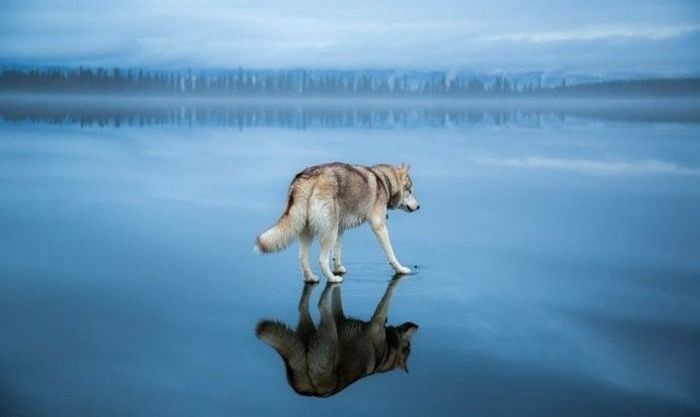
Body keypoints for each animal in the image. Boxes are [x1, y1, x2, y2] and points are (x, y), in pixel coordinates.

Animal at [256, 278, 416, 394]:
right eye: (408, 347)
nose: (415, 326)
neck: (388, 350)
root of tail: (308, 389)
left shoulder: (339, 317)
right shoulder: (377, 321)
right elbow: (385, 304)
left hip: (310, 328)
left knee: (302, 306)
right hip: (330, 333)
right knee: (321, 303)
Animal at [258, 161, 422, 282]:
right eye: (410, 191)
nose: (419, 207)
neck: (384, 181)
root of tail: (307, 176)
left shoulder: (341, 229)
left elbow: (337, 253)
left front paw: (338, 268)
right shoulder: (379, 227)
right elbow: (391, 253)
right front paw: (401, 269)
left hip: (311, 231)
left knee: (303, 258)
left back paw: (311, 279)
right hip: (329, 232)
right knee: (322, 260)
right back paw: (332, 279)